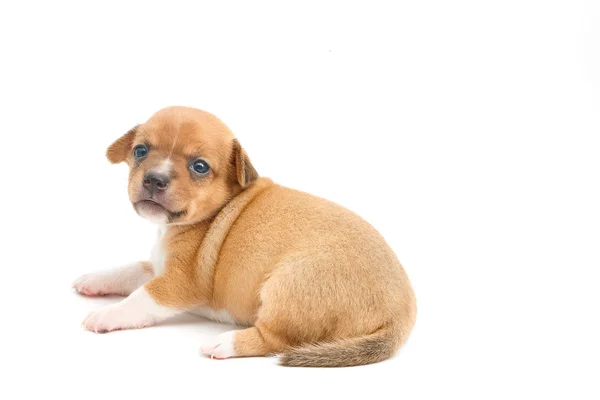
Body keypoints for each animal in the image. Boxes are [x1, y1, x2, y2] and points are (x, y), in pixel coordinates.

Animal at [72, 107, 414, 368]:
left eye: (199, 167)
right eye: (140, 150)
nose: (154, 179)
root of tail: (401, 316)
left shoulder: (177, 283)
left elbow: (139, 299)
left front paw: (105, 314)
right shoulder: (157, 266)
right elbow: (128, 271)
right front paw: (94, 280)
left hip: (286, 285)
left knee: (273, 340)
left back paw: (225, 344)